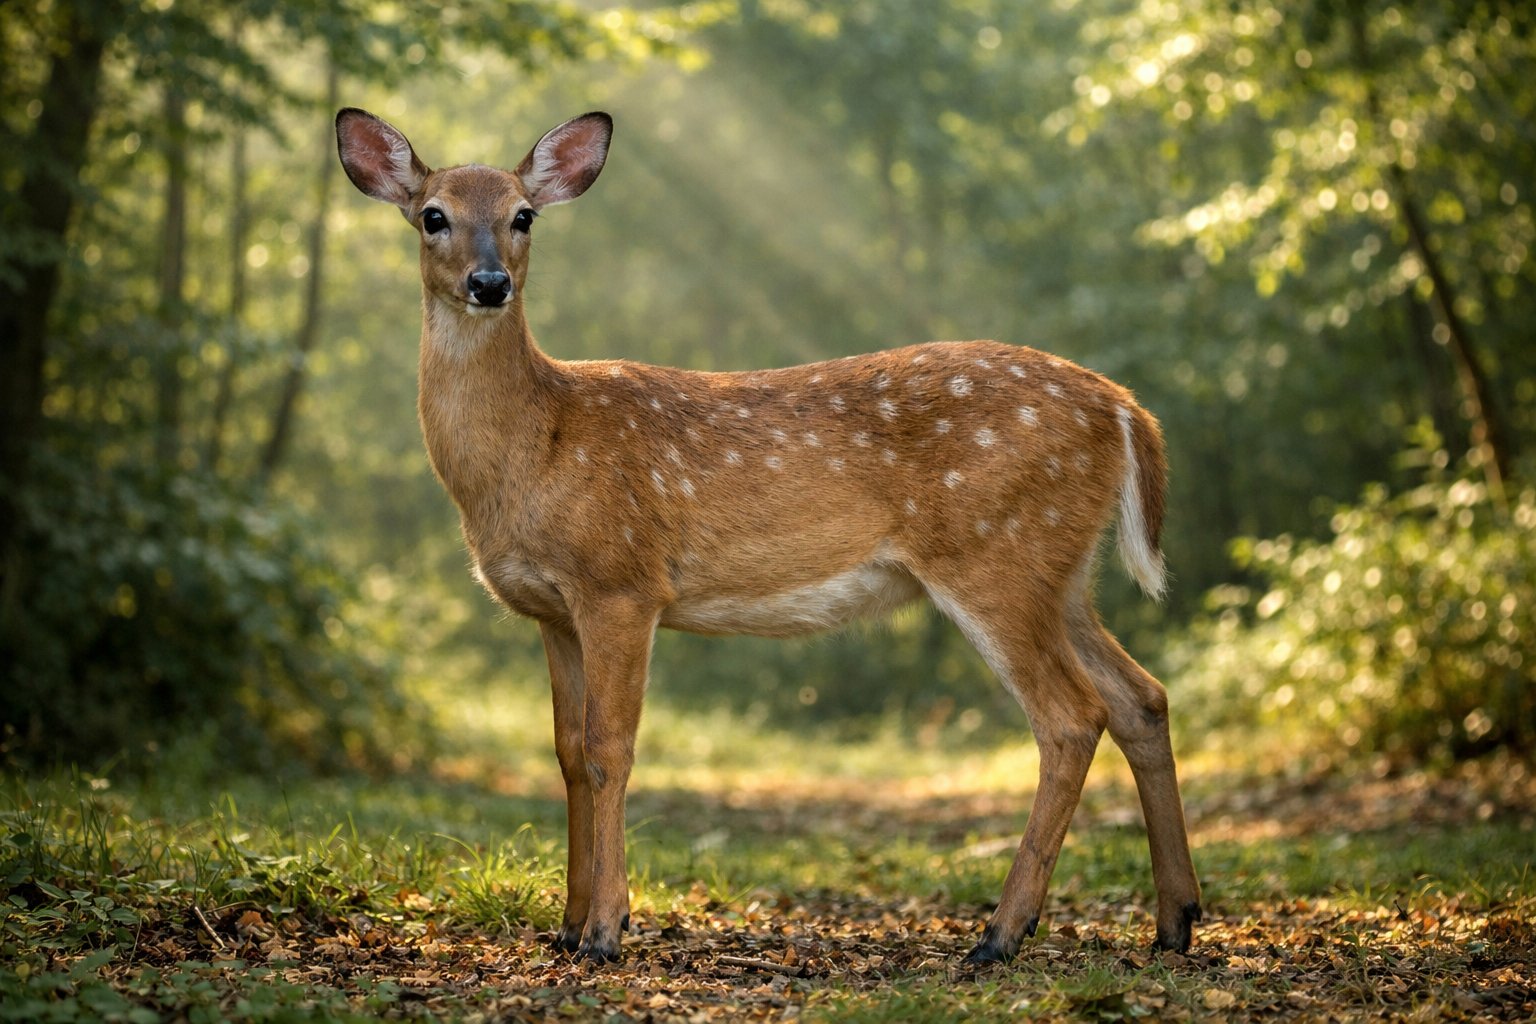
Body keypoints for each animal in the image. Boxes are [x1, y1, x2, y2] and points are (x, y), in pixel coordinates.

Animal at [335, 107, 1202, 965]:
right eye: (433, 216)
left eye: (523, 216)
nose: (489, 283)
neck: (537, 445)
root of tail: (1125, 410)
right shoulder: (554, 611)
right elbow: (568, 756)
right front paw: (568, 928)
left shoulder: (622, 581)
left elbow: (611, 748)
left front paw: (608, 931)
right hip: (1062, 574)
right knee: (1141, 697)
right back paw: (1175, 919)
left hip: (997, 555)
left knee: (1070, 717)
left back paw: (1000, 933)